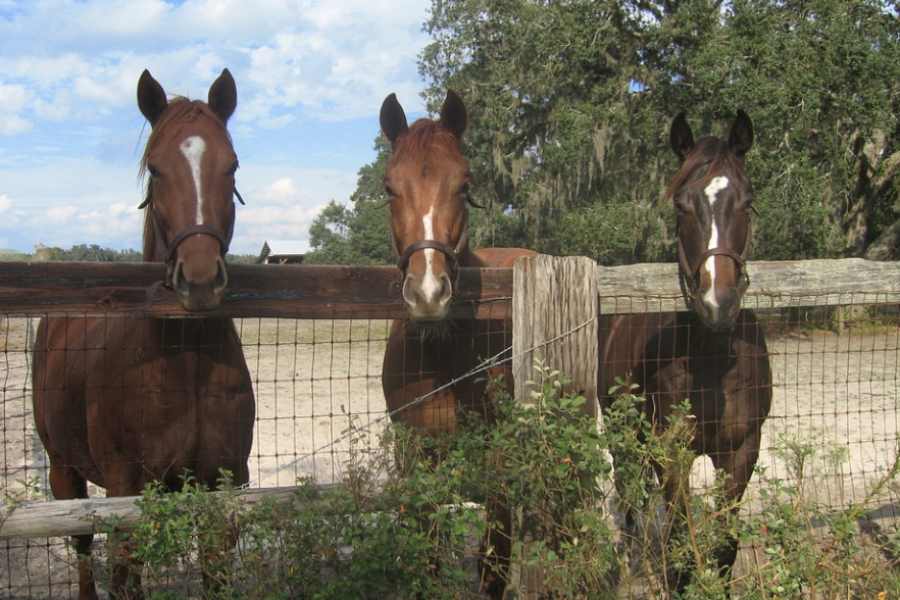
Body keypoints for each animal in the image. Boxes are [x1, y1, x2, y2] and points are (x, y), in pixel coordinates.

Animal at [31, 70, 255, 600]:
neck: (184, 363)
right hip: (62, 468)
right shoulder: (127, 491)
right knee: (82, 544)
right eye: (154, 169)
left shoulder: (222, 486)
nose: (200, 279)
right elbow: (122, 576)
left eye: (232, 165)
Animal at [378, 91, 536, 596]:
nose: (429, 293)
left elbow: (494, 565)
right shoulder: (413, 456)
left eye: (464, 186)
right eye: (389, 188)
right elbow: (426, 555)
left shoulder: (501, 463)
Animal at [600, 110, 768, 592]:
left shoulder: (743, 450)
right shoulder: (669, 450)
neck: (711, 359)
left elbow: (725, 542)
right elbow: (680, 537)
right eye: (680, 205)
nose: (718, 303)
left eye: (747, 202)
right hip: (623, 431)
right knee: (630, 499)